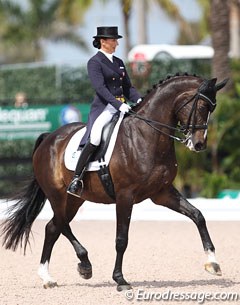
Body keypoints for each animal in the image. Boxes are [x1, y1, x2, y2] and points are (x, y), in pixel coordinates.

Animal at [0, 73, 227, 290]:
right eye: (201, 106)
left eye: (212, 108)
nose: (198, 144)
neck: (147, 136)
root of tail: (48, 138)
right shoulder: (125, 196)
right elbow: (121, 239)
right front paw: (120, 279)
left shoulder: (162, 193)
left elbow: (198, 216)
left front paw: (213, 263)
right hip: (57, 195)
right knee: (61, 224)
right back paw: (84, 264)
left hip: (74, 199)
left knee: (53, 227)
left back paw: (49, 277)